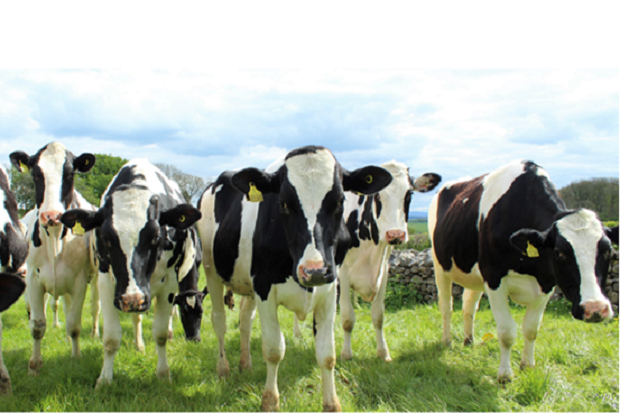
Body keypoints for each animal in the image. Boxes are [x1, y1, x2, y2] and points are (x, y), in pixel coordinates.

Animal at [9, 141, 98, 374]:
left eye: (70, 174)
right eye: (36, 174)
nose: (51, 216)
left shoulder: (80, 280)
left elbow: (75, 323)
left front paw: (76, 356)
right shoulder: (33, 278)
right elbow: (38, 325)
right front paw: (34, 365)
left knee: (94, 308)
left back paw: (92, 332)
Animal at [58, 158, 201, 384]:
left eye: (155, 237)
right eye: (106, 238)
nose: (132, 299)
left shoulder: (169, 283)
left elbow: (160, 333)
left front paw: (163, 374)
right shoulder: (107, 282)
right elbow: (111, 337)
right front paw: (104, 379)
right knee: (135, 317)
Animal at [199, 146, 392, 410]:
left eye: (340, 201)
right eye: (283, 203)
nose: (314, 270)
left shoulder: (330, 290)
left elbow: (327, 354)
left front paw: (332, 403)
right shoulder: (264, 288)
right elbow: (273, 349)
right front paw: (270, 401)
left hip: (247, 283)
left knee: (245, 320)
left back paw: (245, 364)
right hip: (211, 270)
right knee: (219, 320)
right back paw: (223, 368)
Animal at [336, 161, 438, 360]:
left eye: (409, 194)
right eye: (377, 195)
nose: (395, 234)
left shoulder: (383, 271)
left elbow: (378, 316)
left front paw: (383, 353)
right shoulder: (342, 273)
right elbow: (347, 318)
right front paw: (346, 354)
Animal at [428, 159, 616, 384]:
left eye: (608, 251)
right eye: (560, 253)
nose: (595, 309)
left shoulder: (547, 283)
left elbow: (532, 329)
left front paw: (528, 365)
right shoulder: (494, 278)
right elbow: (507, 332)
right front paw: (505, 375)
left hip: (474, 274)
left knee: (469, 306)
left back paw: (468, 340)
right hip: (440, 265)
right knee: (446, 307)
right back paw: (447, 341)